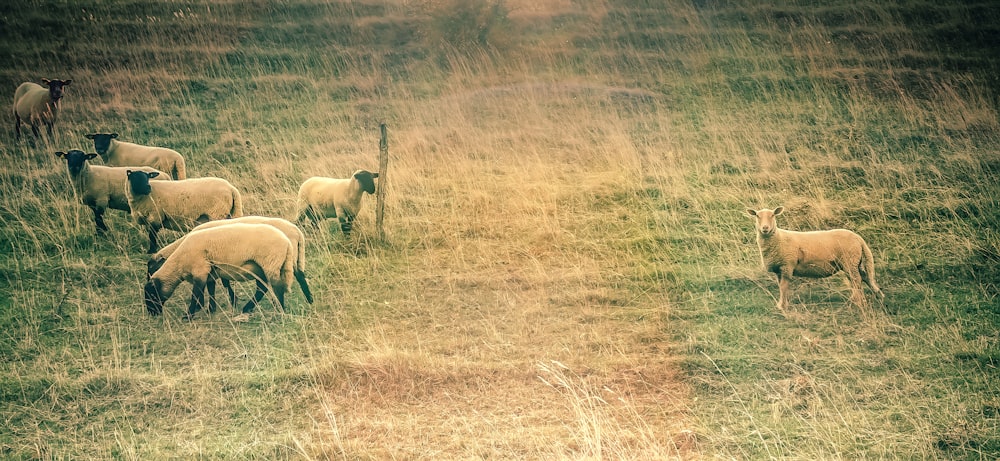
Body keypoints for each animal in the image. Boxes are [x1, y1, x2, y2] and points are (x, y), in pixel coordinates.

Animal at [147, 215, 312, 306]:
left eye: (151, 268)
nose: (147, 279)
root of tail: (297, 232)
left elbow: (222, 282)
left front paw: (232, 300)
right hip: (294, 258)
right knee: (300, 276)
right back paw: (309, 300)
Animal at [748, 206, 888, 310]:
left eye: (772, 215)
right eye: (757, 216)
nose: (765, 228)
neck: (778, 238)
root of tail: (859, 238)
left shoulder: (787, 265)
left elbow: (783, 286)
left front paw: (782, 306)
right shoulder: (779, 268)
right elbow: (781, 286)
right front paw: (783, 303)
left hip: (849, 260)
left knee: (856, 280)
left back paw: (857, 301)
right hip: (853, 262)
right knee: (864, 277)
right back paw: (877, 296)